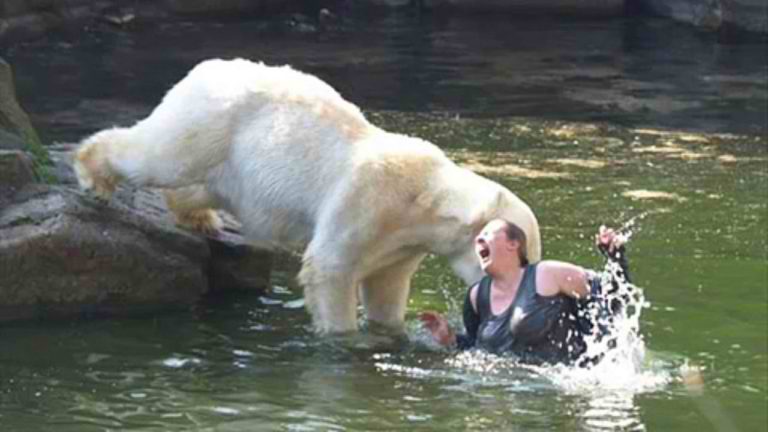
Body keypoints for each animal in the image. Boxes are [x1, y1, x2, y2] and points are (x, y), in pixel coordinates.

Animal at [73, 58, 541, 334]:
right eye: (523, 254)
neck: (424, 197)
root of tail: (204, 67)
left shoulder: (402, 244)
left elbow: (386, 286)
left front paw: (391, 332)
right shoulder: (368, 200)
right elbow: (330, 267)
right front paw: (343, 337)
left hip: (232, 159)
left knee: (202, 183)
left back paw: (198, 217)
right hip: (211, 120)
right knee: (160, 154)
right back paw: (93, 173)